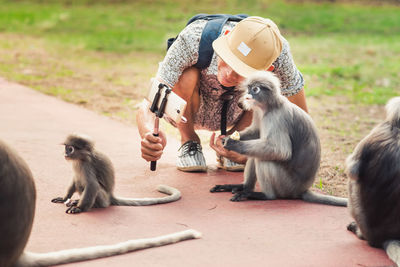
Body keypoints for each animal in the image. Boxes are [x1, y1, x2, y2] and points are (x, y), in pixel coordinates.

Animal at [51, 135, 180, 215]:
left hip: (103, 199)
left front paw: (79, 208)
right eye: (66, 148)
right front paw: (65, 198)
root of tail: (110, 197)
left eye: (70, 149)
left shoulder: (86, 165)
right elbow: (75, 179)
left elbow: (93, 185)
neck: (82, 158)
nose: (65, 154)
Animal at [209, 71, 346, 207]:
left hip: (286, 186)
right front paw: (225, 138)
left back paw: (264, 195)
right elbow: (257, 132)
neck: (269, 107)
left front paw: (232, 143)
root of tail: (301, 190)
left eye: (255, 89)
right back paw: (243, 187)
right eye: (248, 88)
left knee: (263, 160)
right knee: (255, 154)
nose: (248, 94)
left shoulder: (277, 118)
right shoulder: (258, 111)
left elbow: (281, 151)